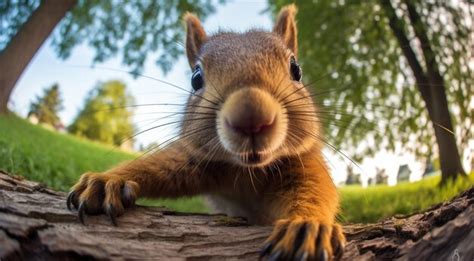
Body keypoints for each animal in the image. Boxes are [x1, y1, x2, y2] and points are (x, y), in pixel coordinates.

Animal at [65, 4, 344, 260]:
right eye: (195, 78)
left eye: (296, 69)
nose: (251, 118)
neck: (249, 173)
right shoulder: (198, 158)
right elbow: (157, 166)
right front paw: (107, 181)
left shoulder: (304, 161)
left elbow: (315, 190)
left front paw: (307, 226)